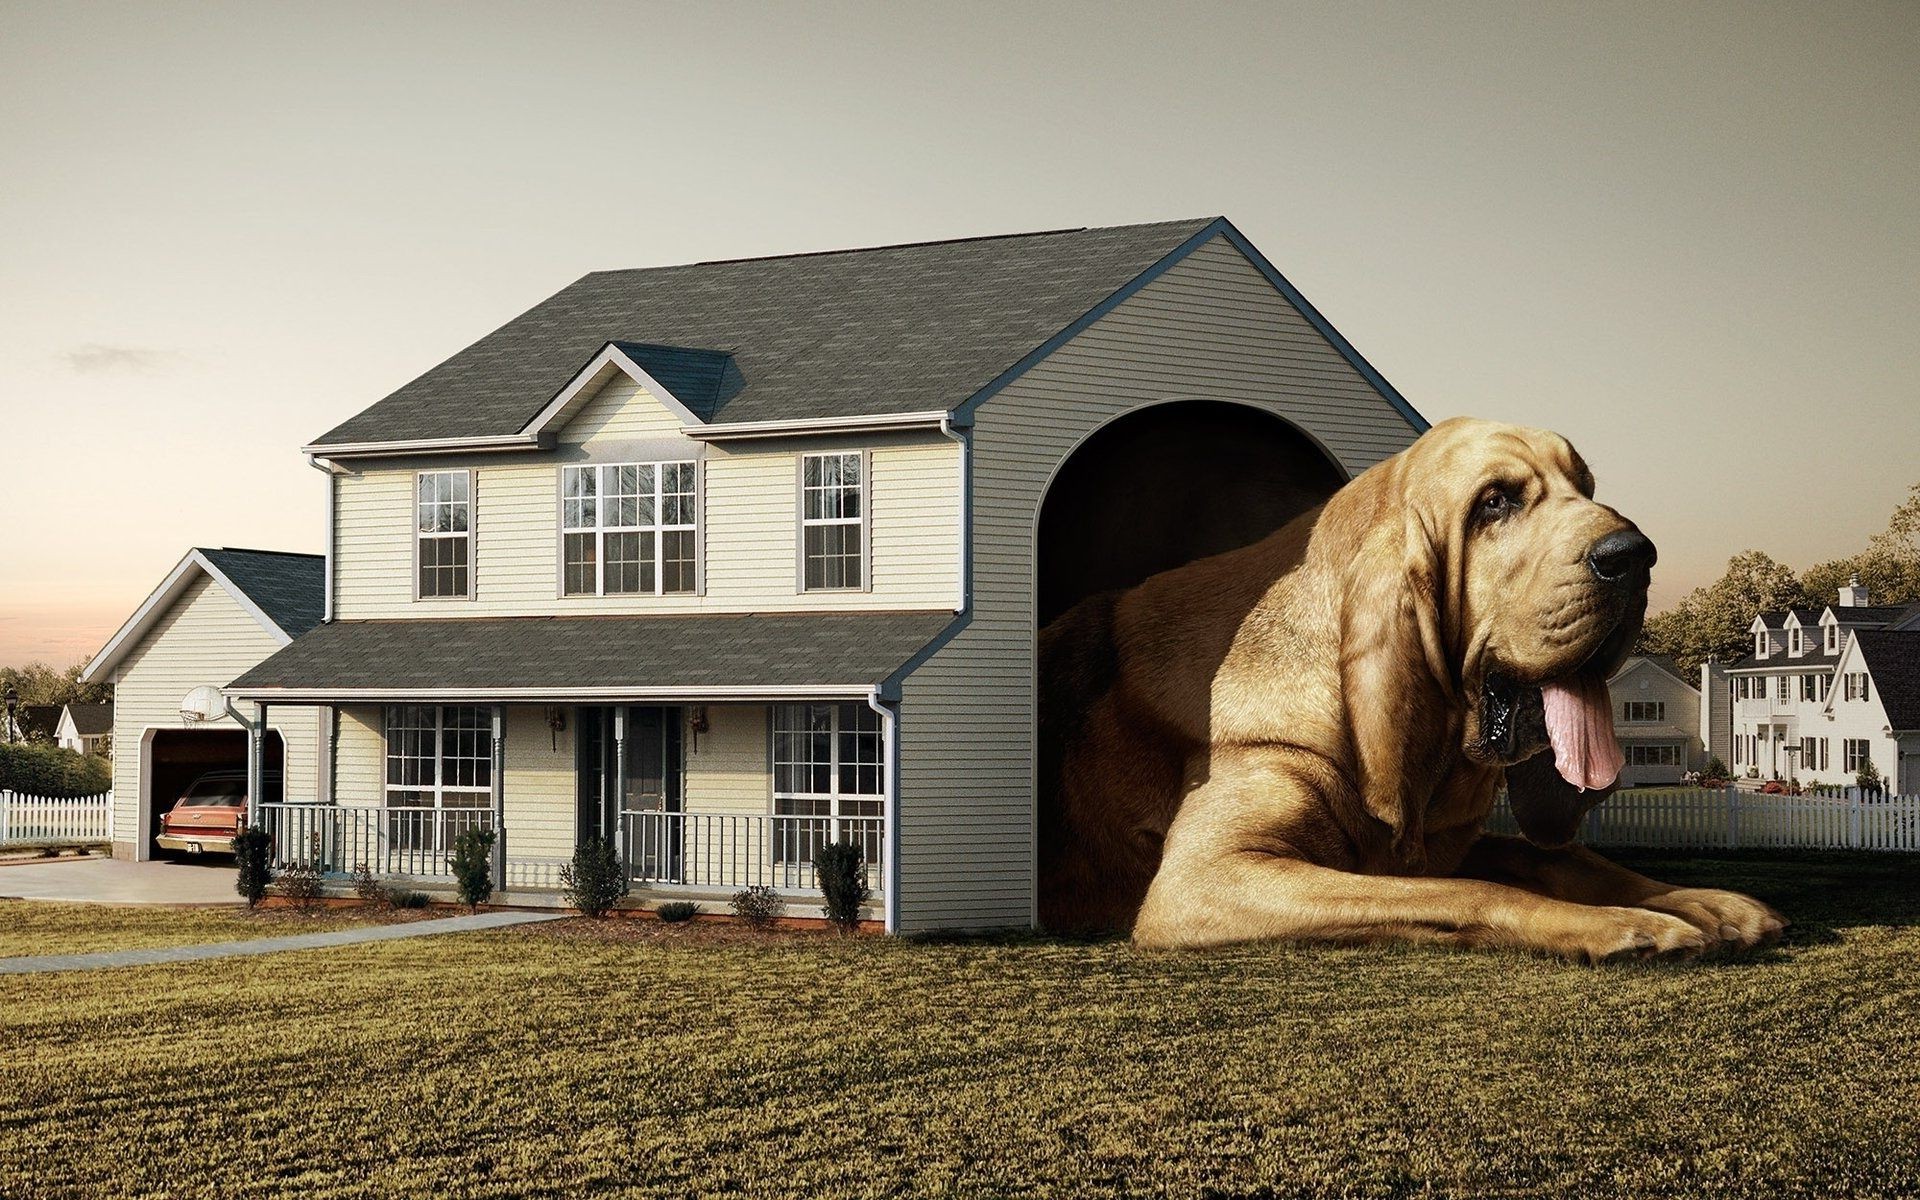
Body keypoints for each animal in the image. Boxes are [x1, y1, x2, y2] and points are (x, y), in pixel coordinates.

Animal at [1052, 416, 1781, 960]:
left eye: (1586, 487)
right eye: (1495, 502)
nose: (1633, 556)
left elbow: (1562, 860)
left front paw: (1699, 902)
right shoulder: (1206, 878)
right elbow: (1472, 890)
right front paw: (1624, 924)